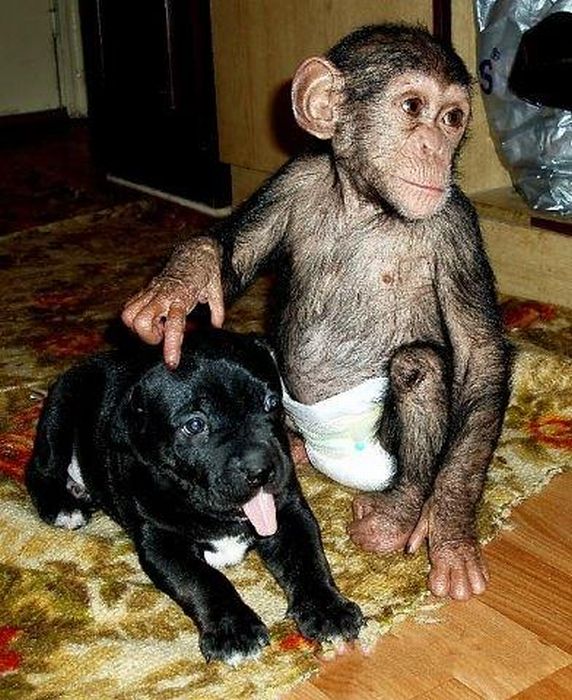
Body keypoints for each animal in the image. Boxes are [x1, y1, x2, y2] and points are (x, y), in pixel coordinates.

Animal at [25, 330, 362, 664]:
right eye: (195, 425)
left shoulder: (289, 513)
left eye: (271, 403)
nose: (261, 470)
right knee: (41, 466)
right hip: (61, 410)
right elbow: (204, 580)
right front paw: (234, 630)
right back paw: (63, 504)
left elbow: (308, 559)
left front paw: (328, 609)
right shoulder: (161, 541)